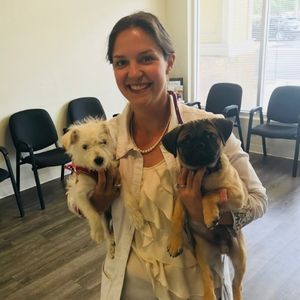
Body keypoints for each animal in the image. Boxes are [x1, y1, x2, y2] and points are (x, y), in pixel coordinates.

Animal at [61, 117, 118, 255]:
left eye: (103, 142)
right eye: (85, 147)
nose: (99, 160)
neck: (97, 172)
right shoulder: (80, 194)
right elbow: (91, 212)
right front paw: (97, 233)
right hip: (104, 216)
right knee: (108, 232)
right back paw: (111, 246)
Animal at [163, 118, 247, 300]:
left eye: (210, 136)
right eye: (185, 141)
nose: (199, 145)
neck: (203, 172)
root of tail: (222, 249)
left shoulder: (237, 194)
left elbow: (210, 194)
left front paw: (210, 215)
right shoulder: (181, 196)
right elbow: (176, 218)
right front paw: (174, 242)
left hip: (240, 258)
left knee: (237, 285)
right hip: (202, 255)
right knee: (206, 278)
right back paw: (208, 295)